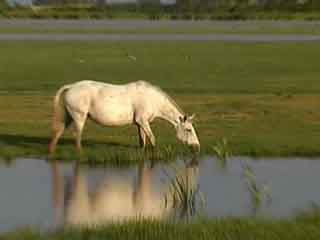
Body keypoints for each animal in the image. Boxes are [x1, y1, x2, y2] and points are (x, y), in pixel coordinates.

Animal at [48, 79, 199, 153]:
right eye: (188, 130)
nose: (197, 147)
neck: (153, 99)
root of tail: (71, 86)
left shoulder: (140, 123)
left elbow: (142, 140)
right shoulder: (143, 121)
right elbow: (152, 138)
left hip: (69, 116)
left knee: (58, 132)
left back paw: (51, 151)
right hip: (79, 117)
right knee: (77, 135)